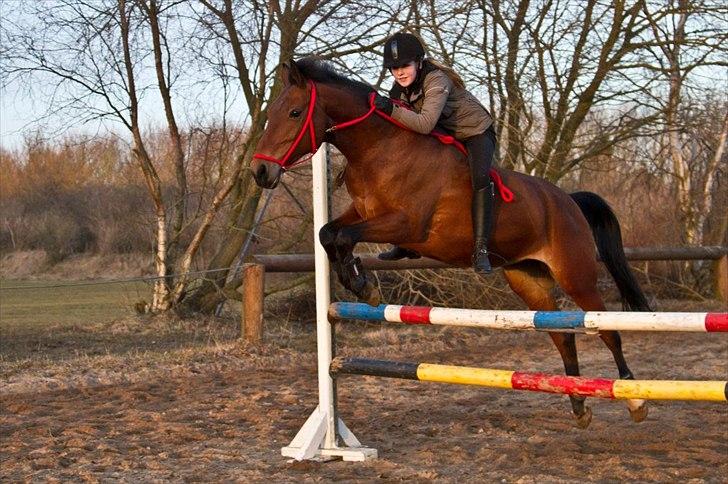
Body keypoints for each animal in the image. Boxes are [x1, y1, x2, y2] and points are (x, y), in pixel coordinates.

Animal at [252, 57, 656, 428]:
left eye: (294, 112)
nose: (260, 172)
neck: (379, 150)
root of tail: (569, 201)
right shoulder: (362, 213)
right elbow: (328, 233)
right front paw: (358, 280)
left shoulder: (406, 225)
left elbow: (342, 235)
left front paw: (362, 284)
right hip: (528, 280)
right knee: (562, 336)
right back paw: (578, 405)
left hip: (577, 276)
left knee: (607, 330)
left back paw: (634, 399)